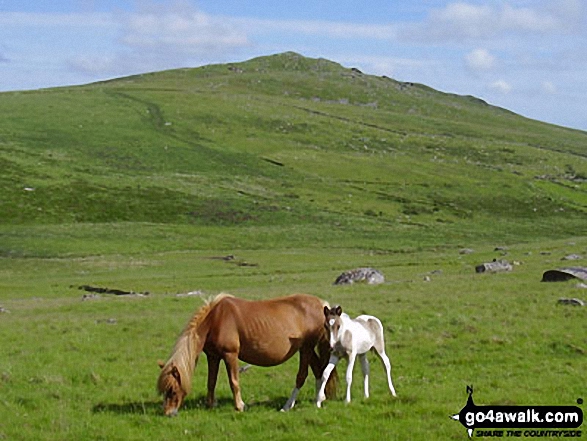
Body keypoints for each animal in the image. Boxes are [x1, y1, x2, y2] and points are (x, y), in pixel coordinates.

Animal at [157, 294, 340, 414]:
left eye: (172, 390)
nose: (168, 413)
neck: (215, 319)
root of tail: (321, 304)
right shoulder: (213, 356)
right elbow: (211, 382)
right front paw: (210, 404)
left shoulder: (230, 354)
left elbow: (234, 382)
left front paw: (240, 406)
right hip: (306, 349)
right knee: (318, 370)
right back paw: (319, 399)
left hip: (306, 348)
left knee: (302, 375)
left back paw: (288, 406)